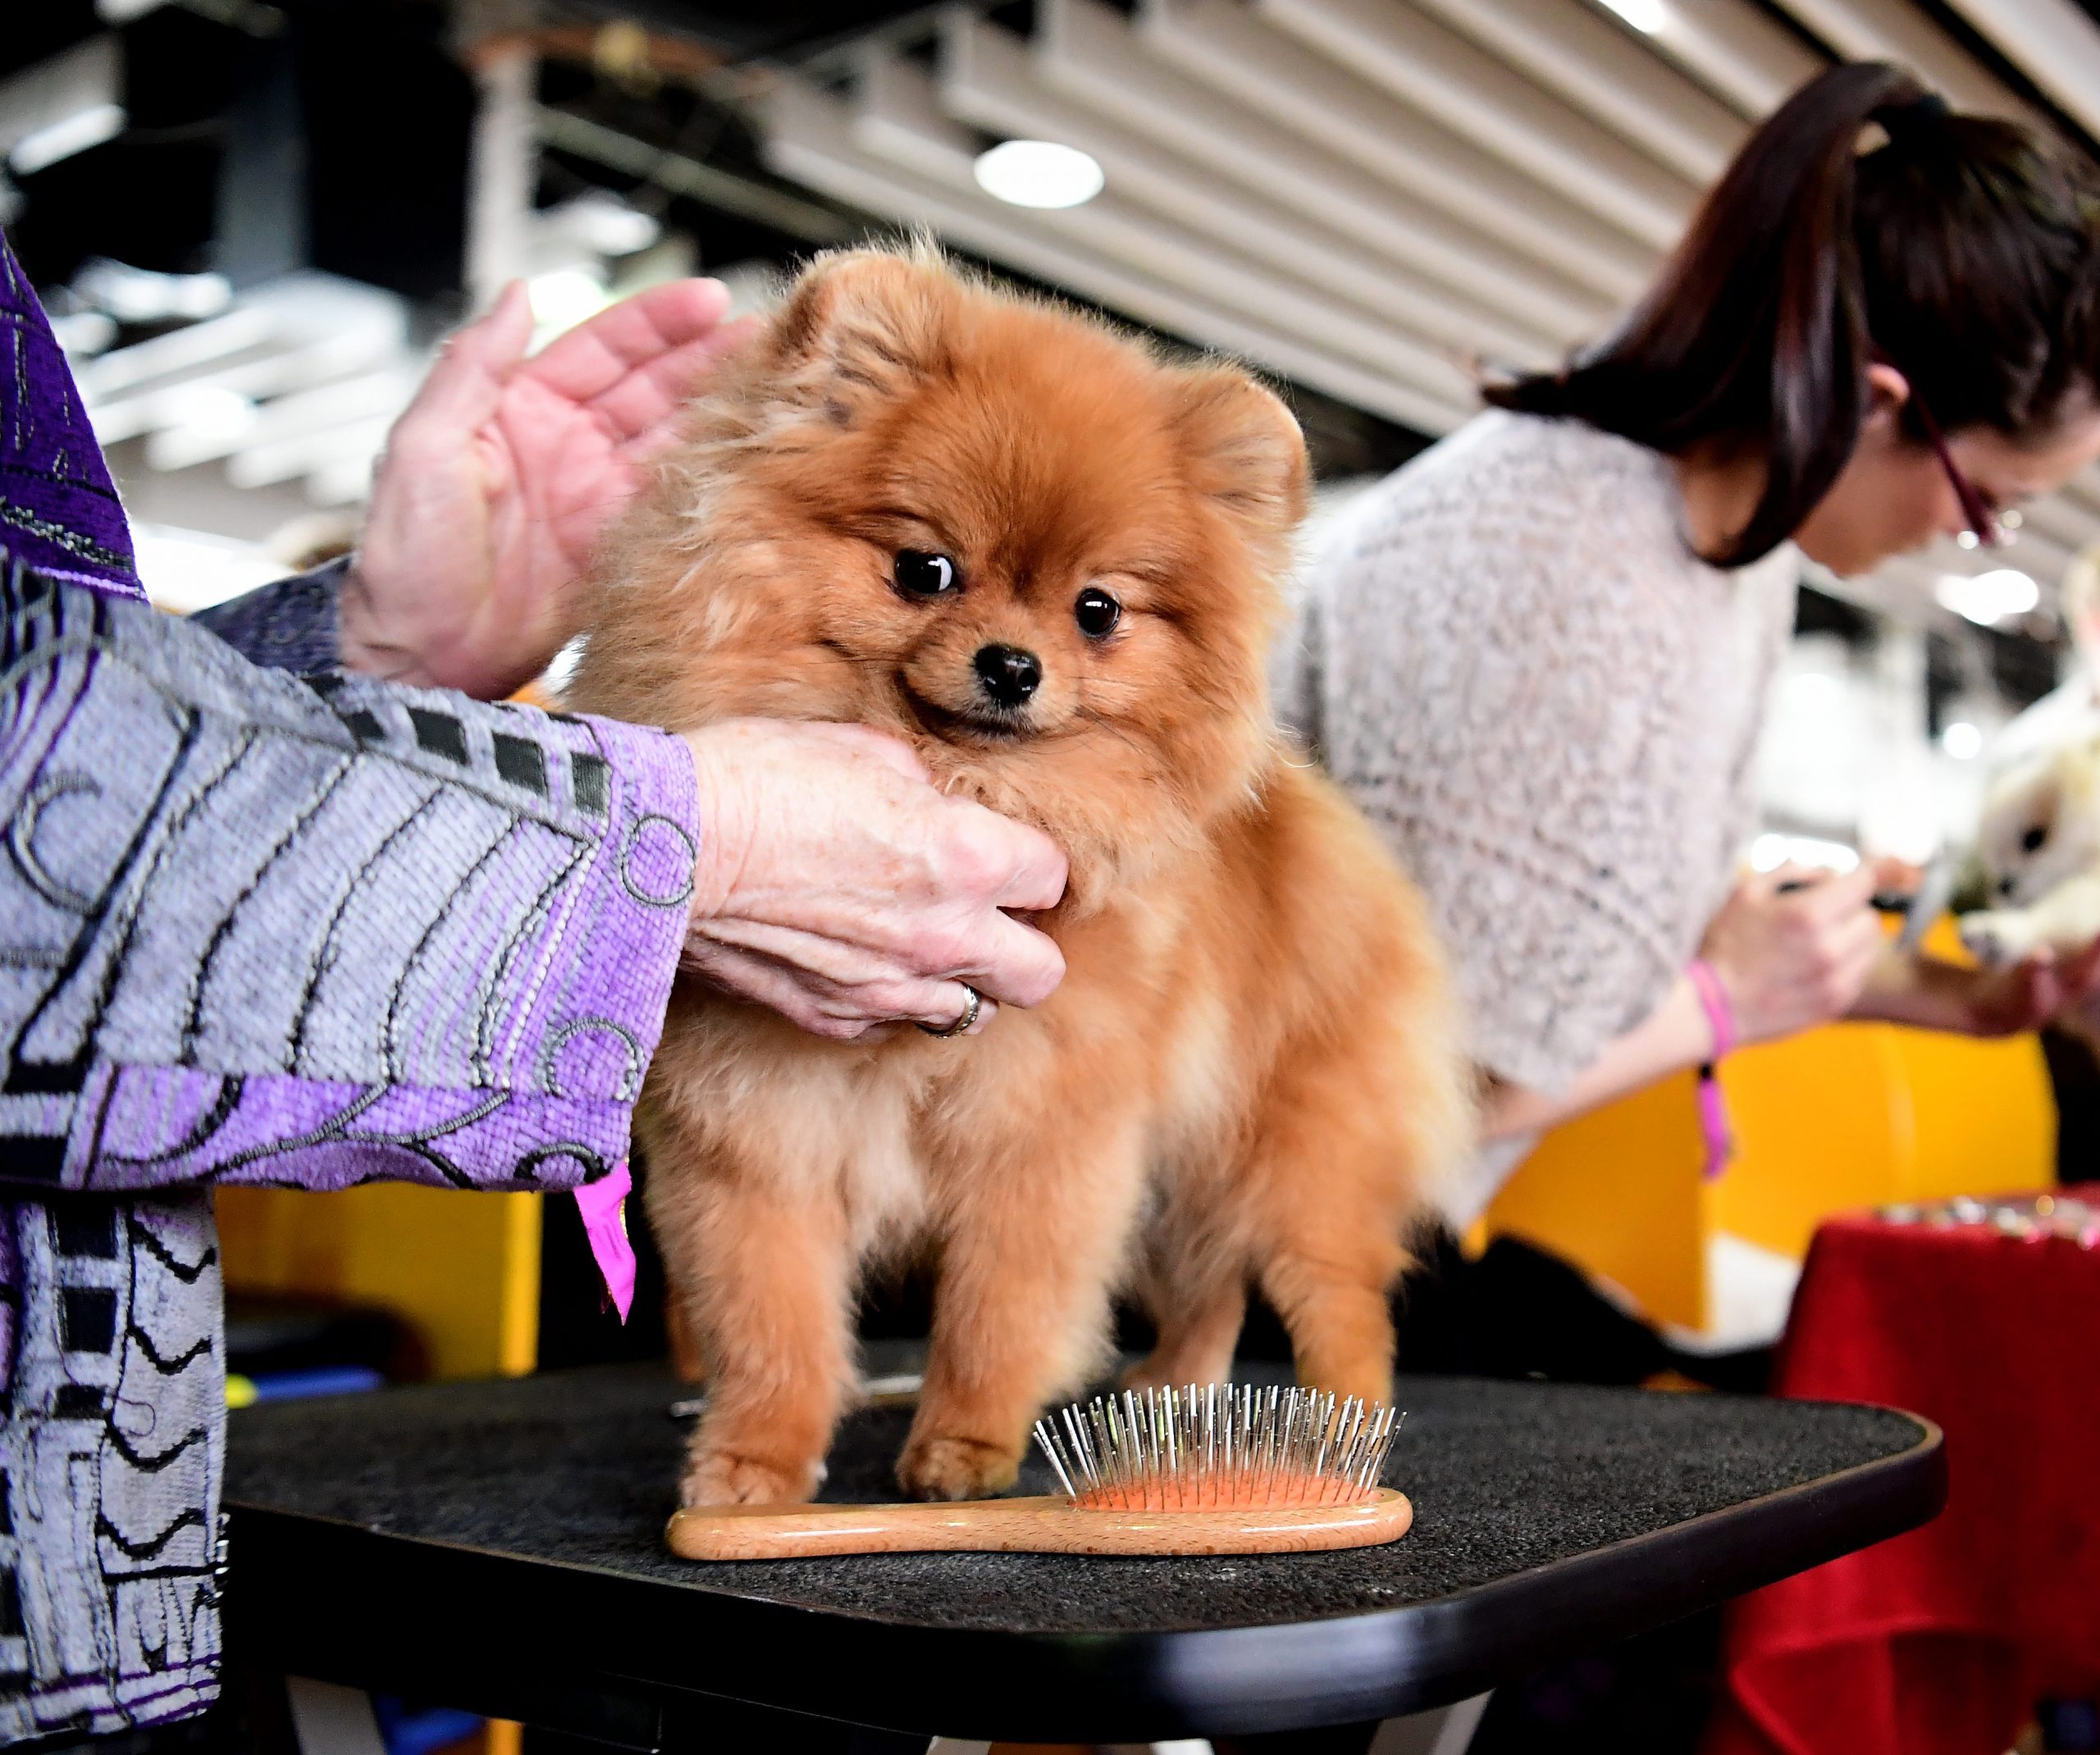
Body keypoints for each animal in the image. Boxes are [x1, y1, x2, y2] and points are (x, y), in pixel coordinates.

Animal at [567, 246, 1470, 1511]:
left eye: (1098, 610)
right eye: (924, 569)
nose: (1011, 663)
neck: (978, 785)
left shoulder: (1044, 1135)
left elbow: (1002, 1304)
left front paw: (966, 1449)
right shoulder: (756, 1141)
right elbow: (771, 1323)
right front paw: (751, 1470)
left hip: (1291, 1158)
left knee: (1330, 1294)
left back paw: (1337, 1436)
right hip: (1184, 1176)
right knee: (1208, 1289)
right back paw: (1177, 1397)